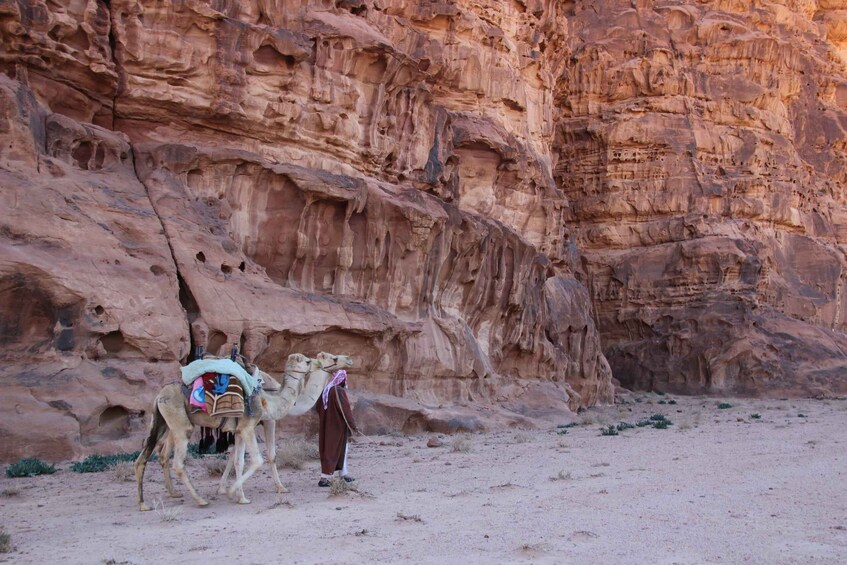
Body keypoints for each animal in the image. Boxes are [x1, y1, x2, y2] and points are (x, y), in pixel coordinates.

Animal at [219, 352, 354, 494]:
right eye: (334, 358)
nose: (349, 359)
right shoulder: (269, 420)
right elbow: (271, 454)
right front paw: (280, 487)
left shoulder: (249, 424)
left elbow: (233, 454)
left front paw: (223, 488)